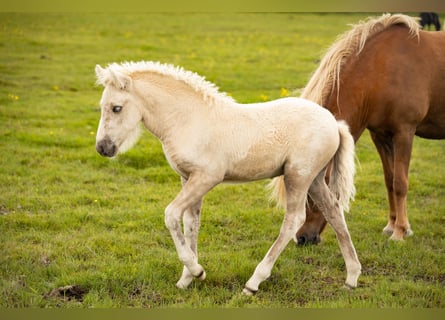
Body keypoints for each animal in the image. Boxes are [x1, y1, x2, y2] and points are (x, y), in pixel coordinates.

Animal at [94, 60, 360, 296]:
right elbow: (191, 225)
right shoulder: (188, 178)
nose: (102, 148)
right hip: (314, 179)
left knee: (294, 220)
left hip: (298, 176)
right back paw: (352, 277)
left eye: (116, 107)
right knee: (334, 210)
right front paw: (186, 279)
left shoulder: (206, 177)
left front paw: (197, 271)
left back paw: (253, 283)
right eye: (101, 106)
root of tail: (334, 123)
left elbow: (171, 215)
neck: (187, 119)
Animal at [268, 11, 444, 242]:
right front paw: (392, 225)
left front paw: (399, 232)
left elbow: (400, 183)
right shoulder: (380, 136)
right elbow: (389, 180)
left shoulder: (404, 133)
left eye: (311, 197)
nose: (303, 238)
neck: (381, 70)